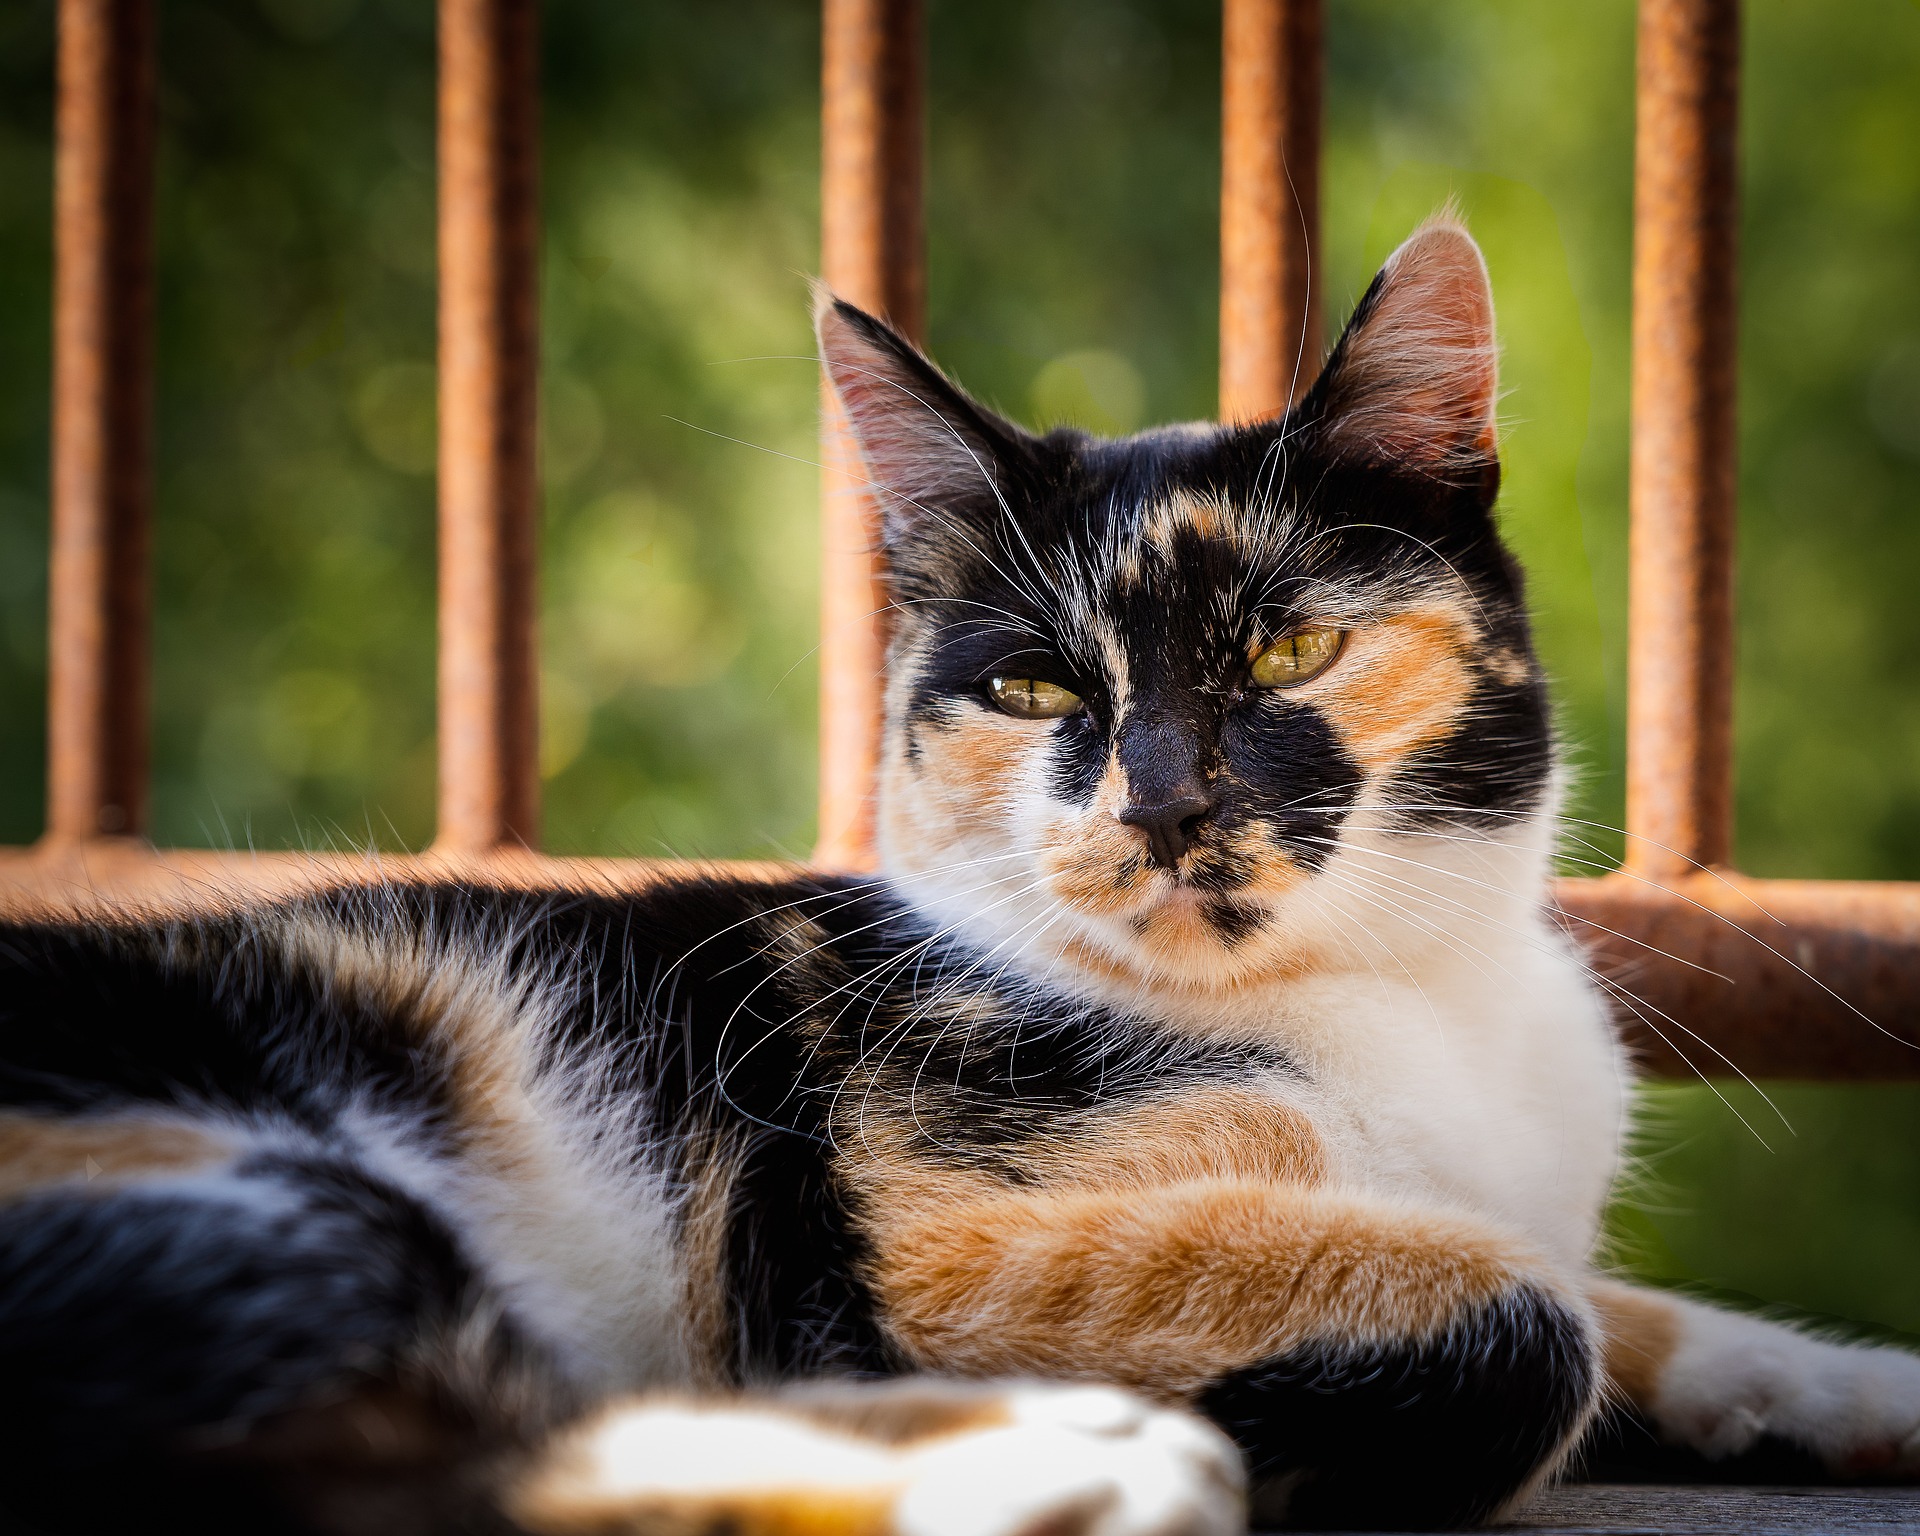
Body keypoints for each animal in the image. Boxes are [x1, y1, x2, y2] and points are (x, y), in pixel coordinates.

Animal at [3, 218, 1920, 1536]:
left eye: (1292, 647)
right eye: (1036, 690)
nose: (1163, 801)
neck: (1397, 1006)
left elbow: (1611, 1296)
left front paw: (1843, 1383)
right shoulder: (924, 1224)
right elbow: (1538, 1317)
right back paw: (1071, 1474)